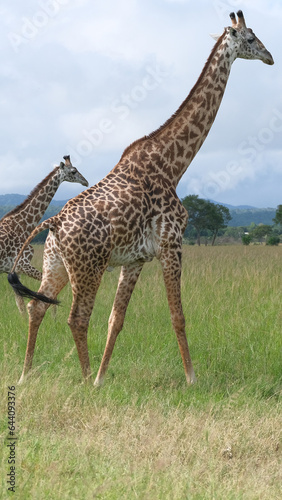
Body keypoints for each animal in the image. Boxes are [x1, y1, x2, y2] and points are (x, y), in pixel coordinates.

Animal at [0, 155, 88, 312]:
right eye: (73, 171)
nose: (86, 181)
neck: (23, 225)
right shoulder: (24, 264)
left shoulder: (16, 270)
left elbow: (20, 304)